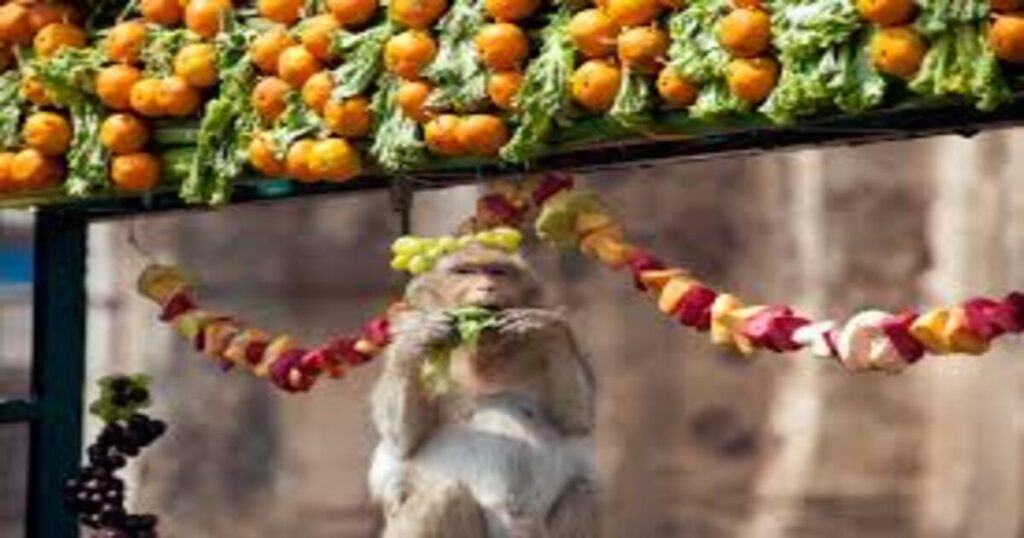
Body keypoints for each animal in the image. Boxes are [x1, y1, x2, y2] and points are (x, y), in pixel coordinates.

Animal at [368, 242, 599, 538]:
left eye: (497, 271)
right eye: (464, 271)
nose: (487, 287)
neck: (480, 353)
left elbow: (575, 421)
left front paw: (547, 329)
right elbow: (401, 442)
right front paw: (419, 337)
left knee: (582, 492)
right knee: (443, 493)